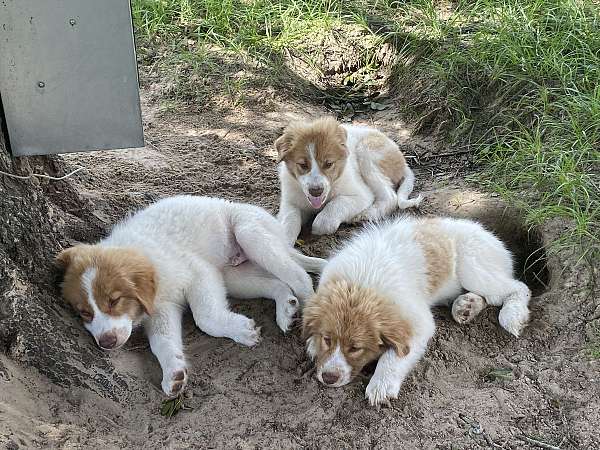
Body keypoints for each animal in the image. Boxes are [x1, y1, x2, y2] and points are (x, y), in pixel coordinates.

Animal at [58, 195, 326, 396]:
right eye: (84, 312)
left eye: (114, 301)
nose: (107, 343)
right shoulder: (162, 309)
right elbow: (162, 342)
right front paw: (173, 372)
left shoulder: (199, 272)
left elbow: (205, 317)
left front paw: (241, 331)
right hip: (234, 275)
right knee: (278, 284)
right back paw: (286, 309)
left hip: (249, 233)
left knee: (299, 276)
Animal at [274, 116, 420, 243]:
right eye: (303, 165)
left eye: (328, 164)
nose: (316, 191)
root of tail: (403, 160)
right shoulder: (290, 202)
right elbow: (289, 221)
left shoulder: (361, 195)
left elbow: (334, 207)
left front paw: (321, 224)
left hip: (366, 153)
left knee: (390, 197)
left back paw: (365, 215)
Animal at [302, 215, 532, 408]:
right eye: (327, 339)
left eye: (356, 348)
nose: (328, 378)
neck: (361, 284)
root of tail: (490, 235)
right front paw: (313, 344)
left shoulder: (418, 322)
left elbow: (394, 356)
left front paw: (381, 384)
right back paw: (465, 306)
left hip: (473, 268)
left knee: (518, 288)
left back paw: (511, 315)